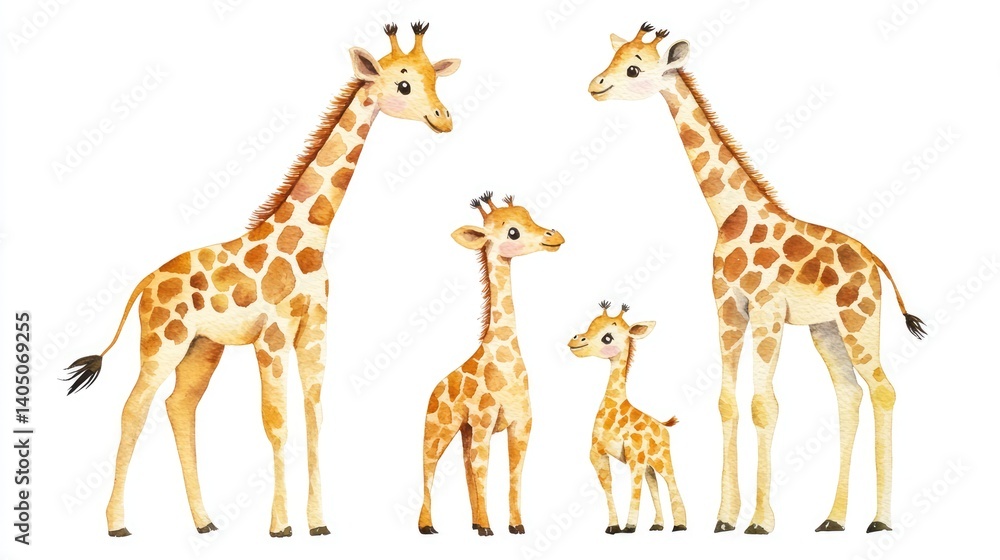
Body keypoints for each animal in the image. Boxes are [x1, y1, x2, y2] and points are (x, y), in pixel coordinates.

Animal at [63, 22, 460, 538]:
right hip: (162, 340)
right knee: (134, 408)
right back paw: (117, 524)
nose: (443, 118)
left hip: (202, 347)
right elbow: (276, 421)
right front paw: (280, 526)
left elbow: (314, 418)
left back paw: (204, 521)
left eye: (436, 78)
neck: (311, 238)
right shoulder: (271, 336)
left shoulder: (314, 332)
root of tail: (145, 283)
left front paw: (318, 523)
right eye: (404, 84)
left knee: (179, 406)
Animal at [418, 192, 564, 536]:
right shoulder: (485, 421)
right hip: (438, 426)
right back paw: (428, 526)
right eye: (513, 232)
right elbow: (483, 467)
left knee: (465, 465)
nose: (554, 236)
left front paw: (515, 525)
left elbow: (514, 472)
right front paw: (488, 528)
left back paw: (473, 521)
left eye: (529, 215)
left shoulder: (522, 424)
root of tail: (435, 387)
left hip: (464, 429)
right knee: (429, 466)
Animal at [569, 301, 687, 535]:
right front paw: (613, 526)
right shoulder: (597, 453)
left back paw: (680, 525)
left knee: (671, 482)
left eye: (607, 337)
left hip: (662, 458)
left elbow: (635, 487)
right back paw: (657, 525)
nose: (575, 340)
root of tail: (663, 425)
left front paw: (630, 526)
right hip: (650, 463)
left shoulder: (635, 456)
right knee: (654, 484)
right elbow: (608, 485)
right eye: (590, 325)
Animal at [588, 23, 926, 534]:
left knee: (883, 390)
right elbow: (727, 403)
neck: (730, 216)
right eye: (615, 57)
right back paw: (833, 518)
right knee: (849, 395)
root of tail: (876, 263)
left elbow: (764, 405)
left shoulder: (766, 311)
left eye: (634, 67)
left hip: (860, 318)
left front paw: (761, 522)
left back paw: (880, 520)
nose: (596, 85)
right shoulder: (728, 309)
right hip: (826, 328)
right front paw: (725, 518)